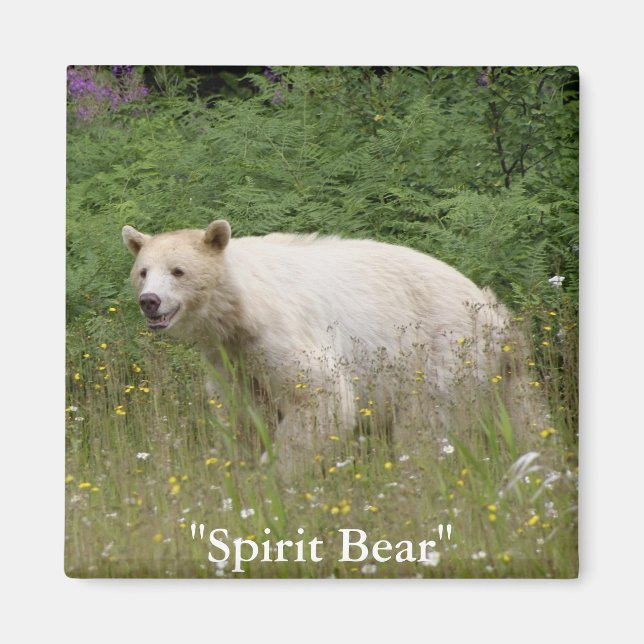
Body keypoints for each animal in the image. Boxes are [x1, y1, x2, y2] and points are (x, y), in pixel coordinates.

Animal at [122, 219, 526, 475]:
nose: (150, 301)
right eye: (143, 271)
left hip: (440, 350)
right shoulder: (230, 357)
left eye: (178, 271)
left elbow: (321, 396)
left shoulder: (283, 332)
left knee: (425, 424)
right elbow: (244, 414)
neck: (240, 311)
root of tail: (493, 311)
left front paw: (278, 474)